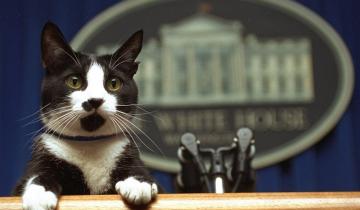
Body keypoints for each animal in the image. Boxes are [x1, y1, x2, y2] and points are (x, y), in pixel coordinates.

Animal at [13, 22, 158, 209]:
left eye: (114, 83)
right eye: (74, 81)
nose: (95, 100)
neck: (90, 144)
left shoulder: (128, 153)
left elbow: (138, 170)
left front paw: (138, 184)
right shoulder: (43, 155)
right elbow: (38, 174)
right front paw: (39, 195)